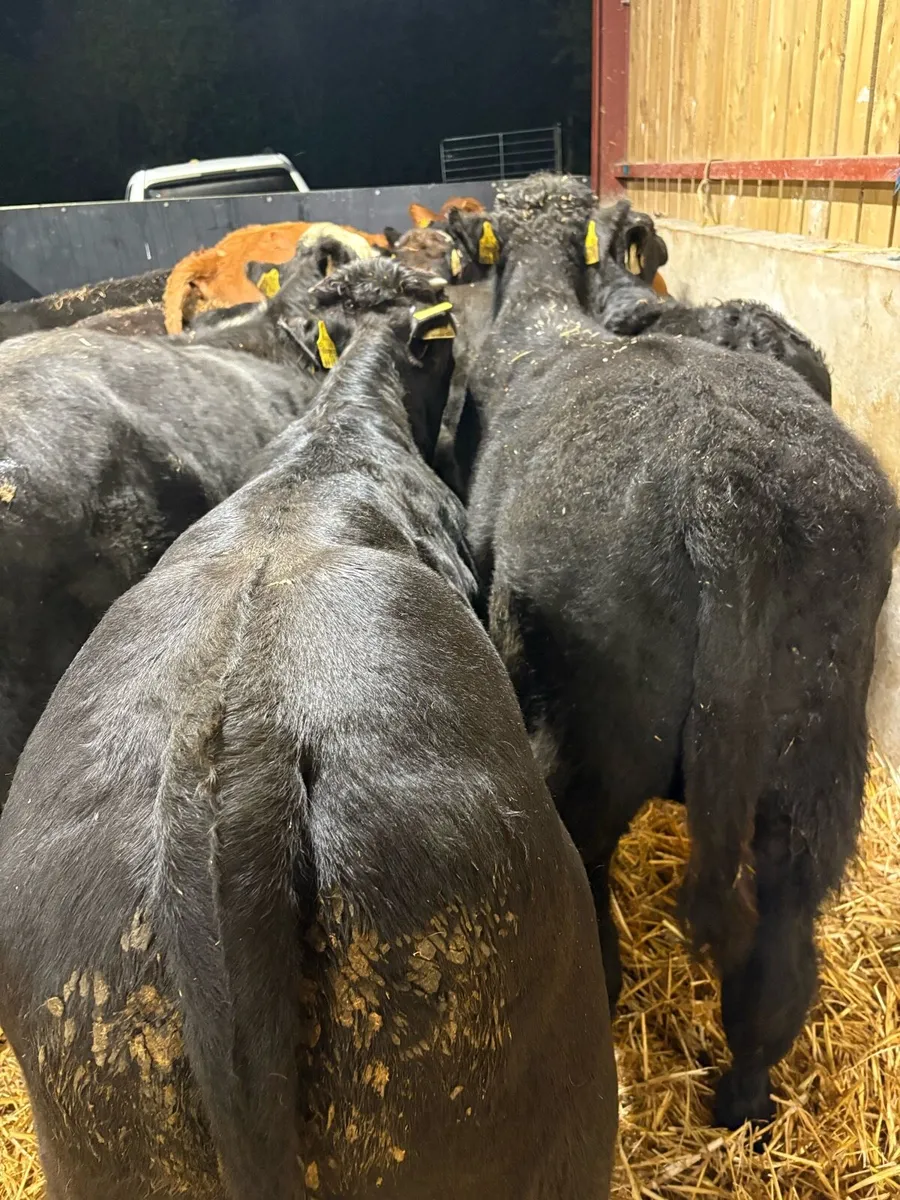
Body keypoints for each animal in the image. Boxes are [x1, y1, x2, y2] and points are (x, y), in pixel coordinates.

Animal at [454, 173, 899, 1129]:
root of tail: (727, 487)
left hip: (599, 742)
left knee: (586, 870)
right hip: (814, 766)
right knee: (778, 957)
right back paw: (743, 1106)